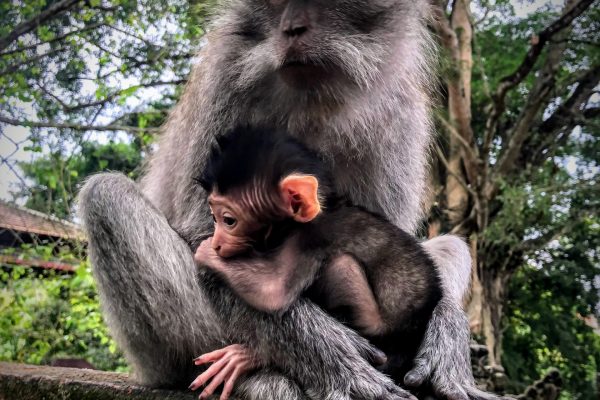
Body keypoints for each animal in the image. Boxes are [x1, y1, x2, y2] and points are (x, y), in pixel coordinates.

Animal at [191, 126, 440, 398]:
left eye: (228, 220)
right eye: (213, 217)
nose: (217, 243)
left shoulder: (307, 239)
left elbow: (274, 290)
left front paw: (205, 252)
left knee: (341, 267)